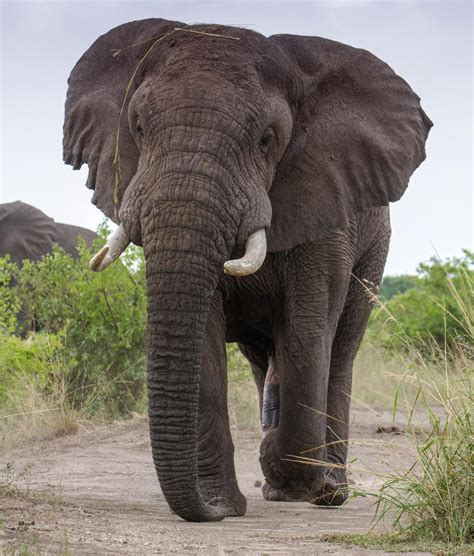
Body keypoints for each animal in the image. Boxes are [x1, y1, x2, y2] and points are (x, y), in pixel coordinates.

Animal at [64, 17, 434, 520]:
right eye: (137, 129)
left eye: (266, 140)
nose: (210, 510)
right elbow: (203, 331)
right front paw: (223, 502)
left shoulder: (325, 202)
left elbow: (307, 331)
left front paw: (278, 468)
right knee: (264, 358)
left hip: (375, 248)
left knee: (340, 350)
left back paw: (327, 490)